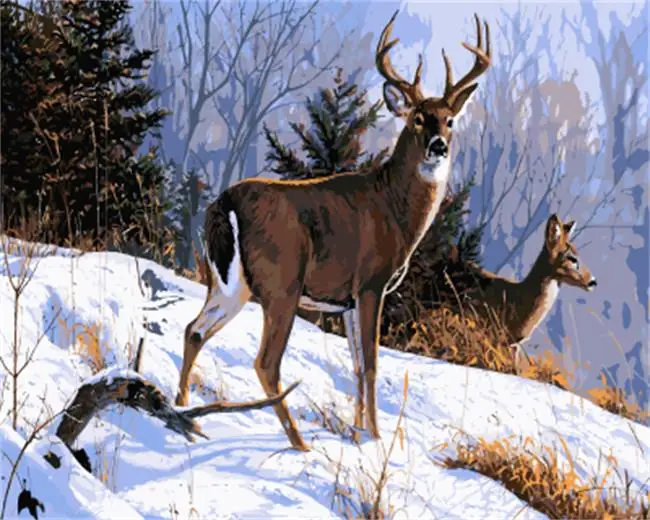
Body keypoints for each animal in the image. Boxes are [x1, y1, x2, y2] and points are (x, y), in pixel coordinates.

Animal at [175, 11, 491, 451]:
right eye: (417, 118)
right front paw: (375, 437)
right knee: (266, 362)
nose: (438, 146)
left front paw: (359, 432)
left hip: (228, 284)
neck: (395, 209)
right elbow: (372, 364)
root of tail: (225, 202)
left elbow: (356, 365)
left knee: (194, 330)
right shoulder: (372, 282)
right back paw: (298, 443)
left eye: (449, 120)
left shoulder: (347, 300)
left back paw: (182, 410)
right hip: (282, 283)